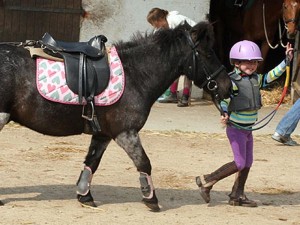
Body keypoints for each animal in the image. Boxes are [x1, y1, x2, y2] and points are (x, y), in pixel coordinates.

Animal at [0, 21, 231, 211]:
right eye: (208, 54)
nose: (228, 86)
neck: (136, 74)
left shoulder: (103, 134)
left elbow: (92, 162)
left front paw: (85, 196)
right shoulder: (126, 132)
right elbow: (144, 163)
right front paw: (151, 199)